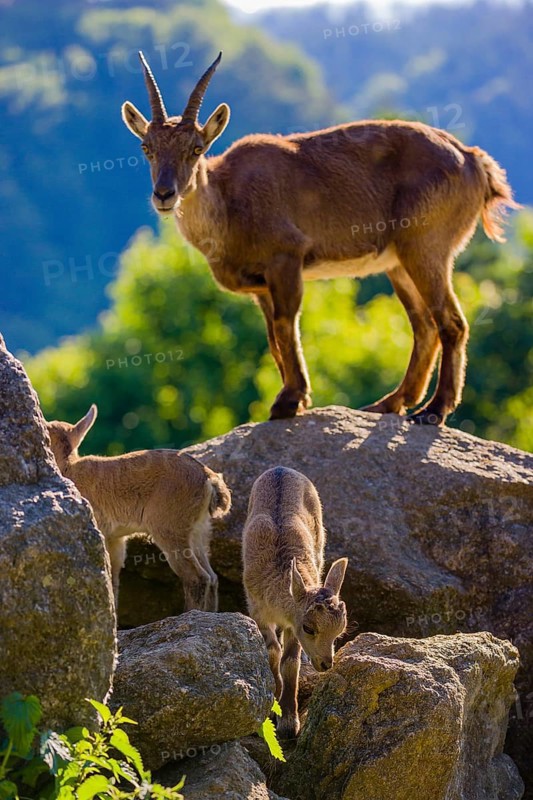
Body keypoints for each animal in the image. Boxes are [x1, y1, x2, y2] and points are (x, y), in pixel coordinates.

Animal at [46, 404, 231, 611]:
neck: (69, 469)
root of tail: (209, 480)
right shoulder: (115, 538)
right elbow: (113, 580)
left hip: (169, 528)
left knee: (198, 577)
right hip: (199, 531)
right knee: (213, 577)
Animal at [121, 52, 517, 425]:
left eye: (197, 148)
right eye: (147, 148)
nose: (164, 194)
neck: (228, 203)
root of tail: (474, 162)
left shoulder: (286, 258)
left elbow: (287, 325)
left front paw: (288, 402)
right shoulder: (261, 286)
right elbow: (273, 338)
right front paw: (293, 398)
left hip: (426, 246)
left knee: (451, 322)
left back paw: (433, 411)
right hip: (399, 262)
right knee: (424, 325)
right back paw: (389, 403)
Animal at [242, 466, 348, 739]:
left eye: (339, 632)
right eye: (309, 628)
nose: (325, 663)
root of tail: (282, 469)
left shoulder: (291, 623)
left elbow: (290, 662)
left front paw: (289, 721)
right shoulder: (258, 610)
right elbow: (272, 650)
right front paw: (274, 699)